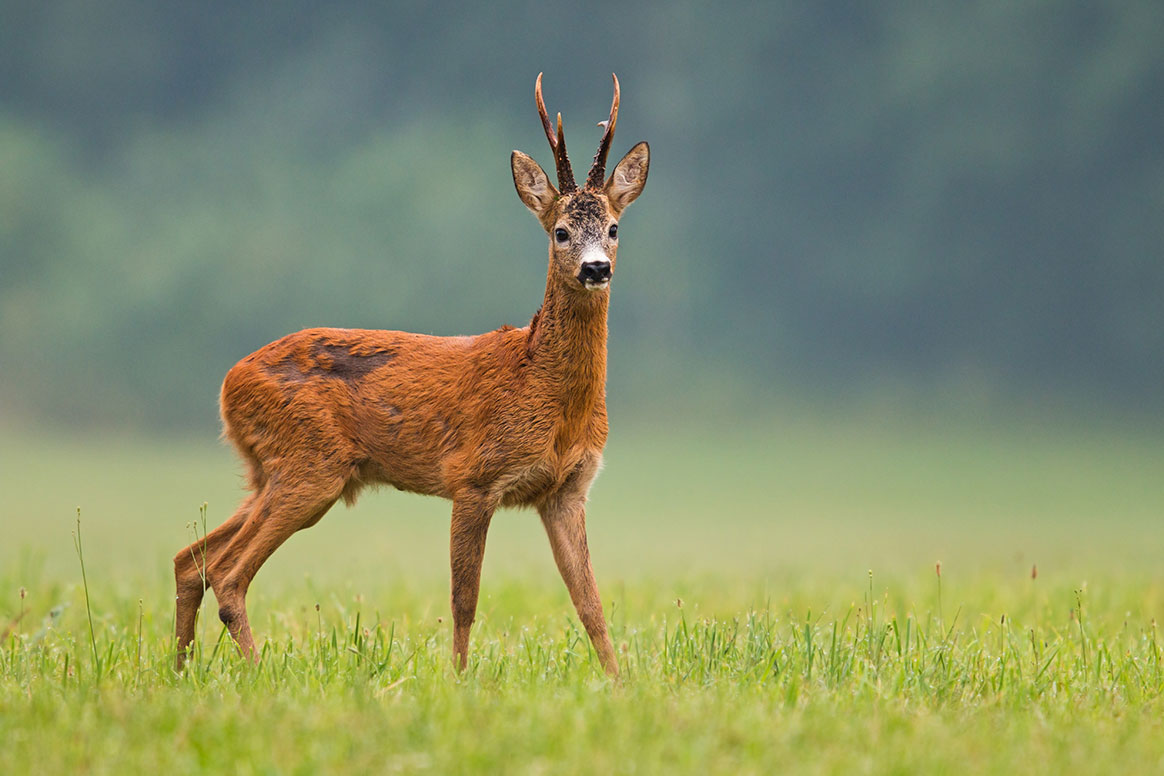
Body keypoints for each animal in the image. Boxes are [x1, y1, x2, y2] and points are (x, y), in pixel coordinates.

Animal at [173, 75, 651, 674]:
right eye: (561, 232)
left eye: (614, 228)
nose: (596, 268)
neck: (541, 386)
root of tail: (228, 385)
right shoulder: (473, 477)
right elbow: (465, 600)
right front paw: (460, 679)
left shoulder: (567, 491)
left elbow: (590, 603)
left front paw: (619, 683)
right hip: (309, 465)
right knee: (228, 572)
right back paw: (256, 672)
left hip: (270, 470)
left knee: (190, 559)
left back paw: (178, 670)